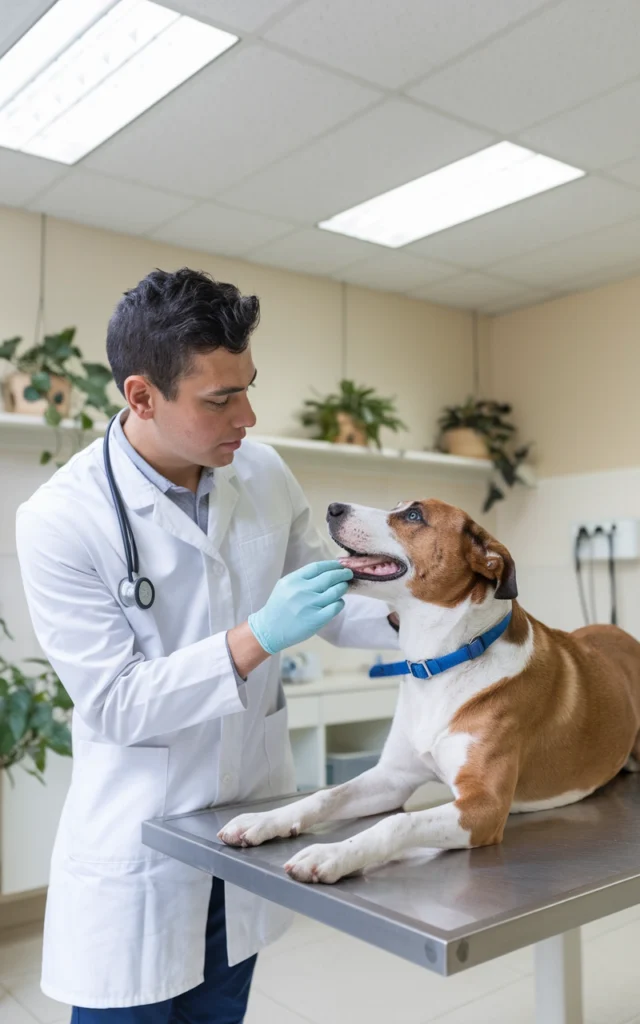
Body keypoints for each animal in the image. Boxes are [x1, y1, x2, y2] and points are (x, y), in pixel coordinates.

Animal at [218, 499, 638, 884]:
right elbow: (325, 795)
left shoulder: (484, 807)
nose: (333, 507)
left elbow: (396, 824)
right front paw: (264, 820)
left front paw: (330, 854)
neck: (441, 661)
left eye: (413, 515)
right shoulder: (393, 778)